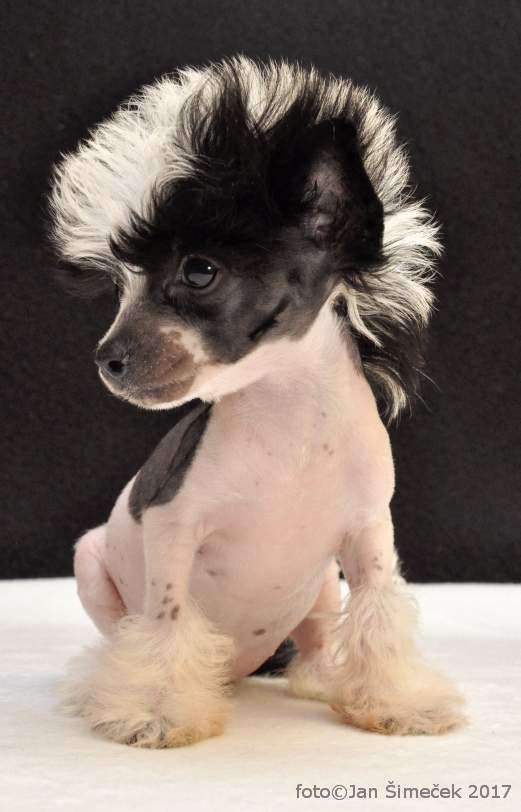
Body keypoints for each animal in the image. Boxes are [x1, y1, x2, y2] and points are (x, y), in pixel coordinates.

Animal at [48, 57, 464, 748]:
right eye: (125, 285)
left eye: (199, 271)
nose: (107, 358)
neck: (289, 423)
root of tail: (242, 667)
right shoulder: (172, 527)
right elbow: (165, 624)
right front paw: (158, 711)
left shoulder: (369, 535)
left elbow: (378, 614)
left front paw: (395, 702)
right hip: (90, 564)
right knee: (121, 641)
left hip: (321, 587)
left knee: (318, 640)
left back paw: (320, 680)